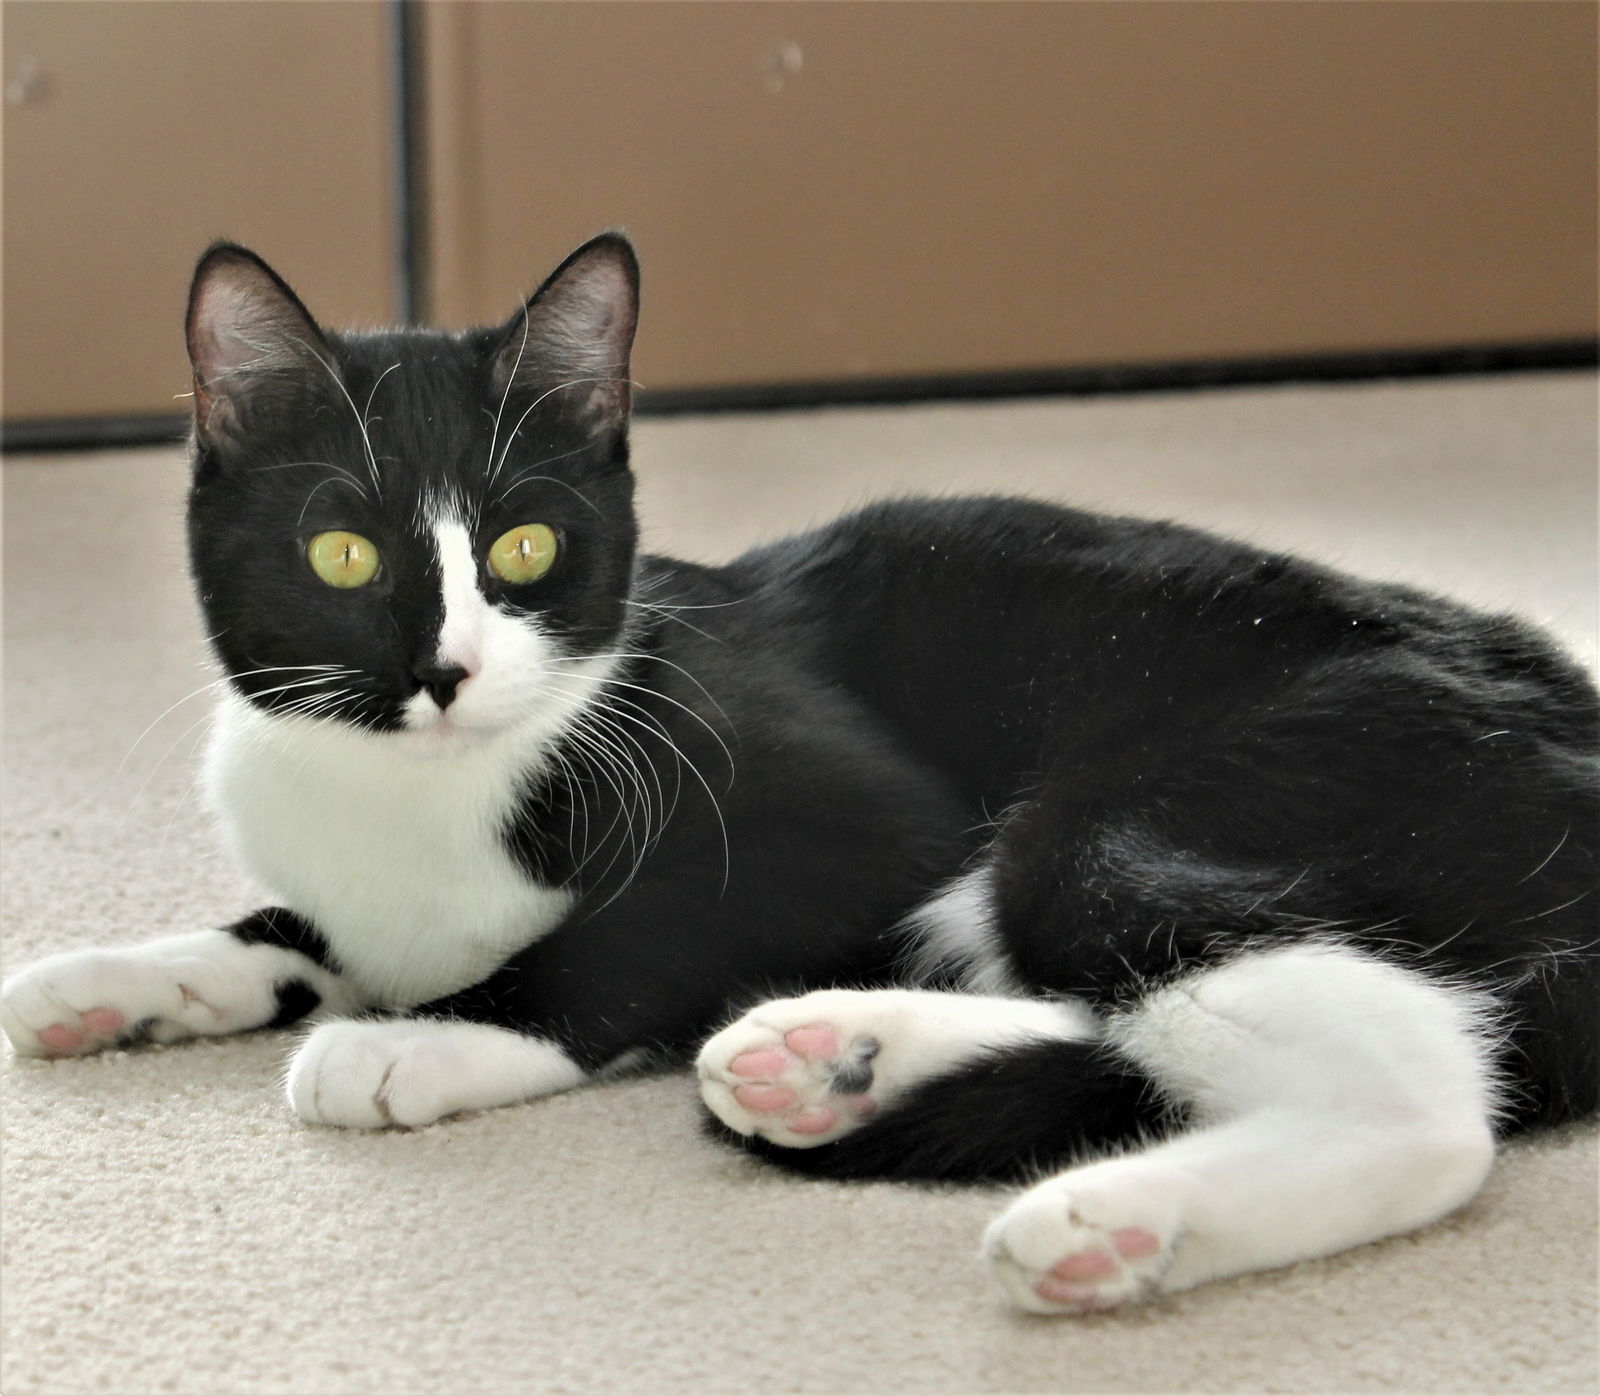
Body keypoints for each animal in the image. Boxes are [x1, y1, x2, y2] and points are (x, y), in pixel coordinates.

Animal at [0, 233, 1593, 1312]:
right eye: (341, 553)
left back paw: (1105, 1226)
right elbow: (296, 927)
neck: (415, 789)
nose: (444, 669)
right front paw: (121, 979)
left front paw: (419, 1036)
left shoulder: (830, 808)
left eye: (527, 545)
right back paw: (833, 1058)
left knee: (1423, 1090)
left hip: (1159, 801)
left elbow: (632, 933)